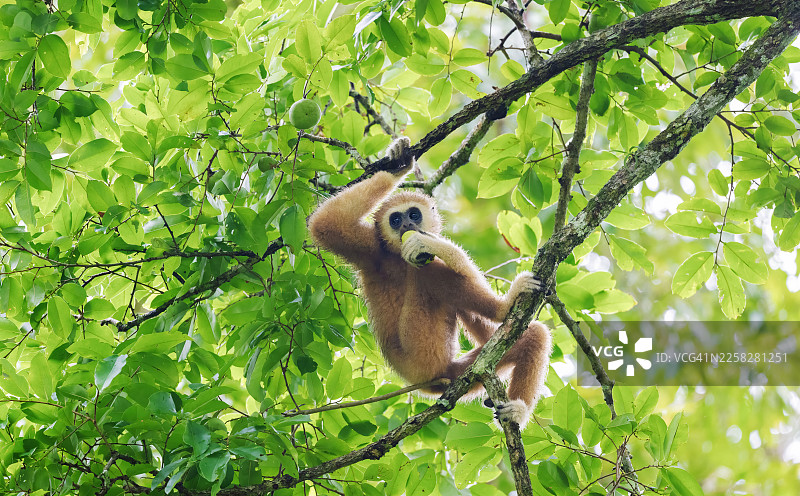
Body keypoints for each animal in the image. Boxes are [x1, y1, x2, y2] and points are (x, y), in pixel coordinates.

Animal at [308, 137, 552, 427]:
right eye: (396, 219)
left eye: (413, 214)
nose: (406, 226)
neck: (395, 256)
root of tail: (423, 383)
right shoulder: (375, 249)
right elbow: (326, 224)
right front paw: (426, 241)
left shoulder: (369, 248)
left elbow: (326, 223)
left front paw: (398, 165)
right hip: (423, 348)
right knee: (431, 275)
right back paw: (504, 308)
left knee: (530, 338)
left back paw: (516, 406)